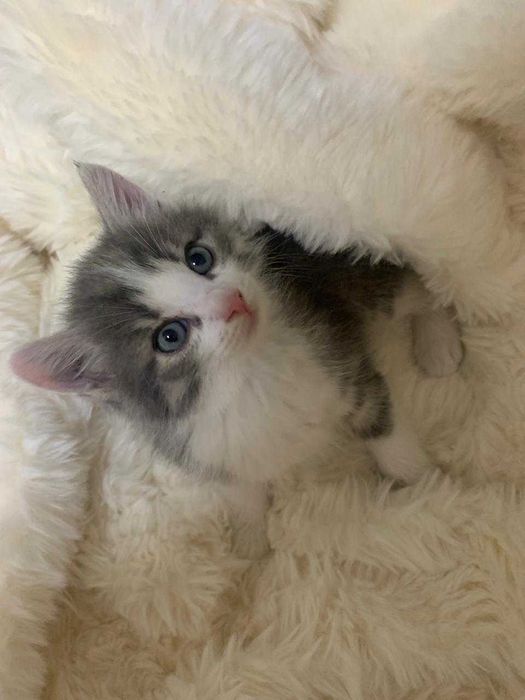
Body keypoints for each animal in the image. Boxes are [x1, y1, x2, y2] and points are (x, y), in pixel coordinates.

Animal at [10, 164, 463, 555]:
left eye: (198, 258)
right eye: (169, 337)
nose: (233, 301)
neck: (245, 377)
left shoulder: (340, 358)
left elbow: (383, 427)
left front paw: (425, 484)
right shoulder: (206, 450)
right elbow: (240, 491)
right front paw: (249, 539)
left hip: (363, 277)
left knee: (425, 290)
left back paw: (437, 344)